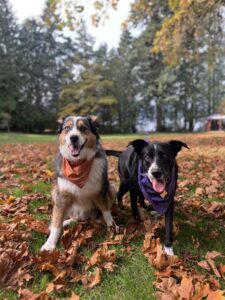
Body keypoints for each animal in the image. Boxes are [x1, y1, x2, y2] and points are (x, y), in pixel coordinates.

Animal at [41, 115, 118, 251]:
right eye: (67, 128)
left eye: (83, 128)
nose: (74, 138)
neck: (78, 164)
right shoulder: (62, 195)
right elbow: (56, 221)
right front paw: (49, 244)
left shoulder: (100, 191)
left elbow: (106, 210)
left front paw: (111, 225)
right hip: (55, 191)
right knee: (73, 218)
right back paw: (66, 222)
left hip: (112, 188)